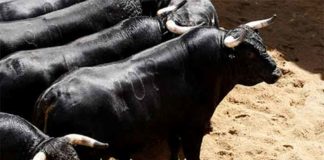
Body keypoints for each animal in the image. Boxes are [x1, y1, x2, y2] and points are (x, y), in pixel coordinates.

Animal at [34, 26, 280, 159]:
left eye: (263, 43)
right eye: (249, 53)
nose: (277, 72)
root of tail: (51, 96)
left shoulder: (172, 127)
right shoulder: (193, 128)